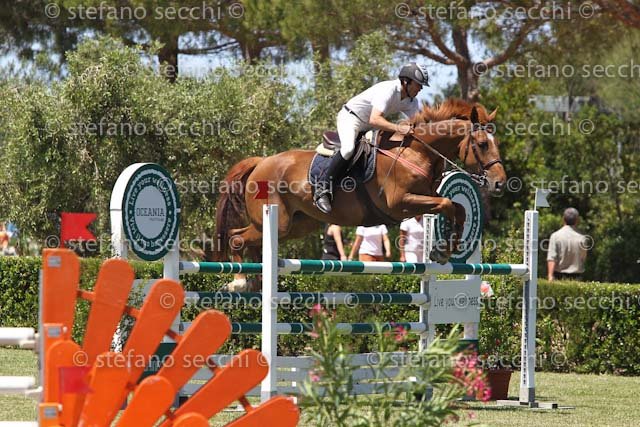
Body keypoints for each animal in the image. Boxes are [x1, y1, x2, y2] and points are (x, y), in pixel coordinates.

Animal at [212, 98, 506, 289]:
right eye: (482, 144)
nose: (500, 183)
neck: (416, 152)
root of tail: (261, 162)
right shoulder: (400, 204)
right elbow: (446, 203)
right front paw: (443, 251)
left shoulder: (422, 201)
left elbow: (459, 208)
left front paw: (446, 250)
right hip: (276, 221)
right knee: (236, 238)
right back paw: (239, 281)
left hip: (298, 224)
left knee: (251, 241)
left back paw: (255, 281)